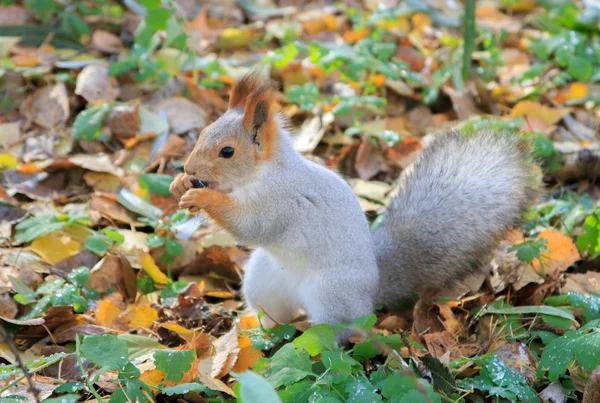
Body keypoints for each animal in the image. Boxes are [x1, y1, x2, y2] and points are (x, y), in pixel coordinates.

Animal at [170, 73, 544, 340]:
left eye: (227, 151)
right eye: (202, 133)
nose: (189, 168)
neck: (262, 174)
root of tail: (373, 289)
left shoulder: (280, 201)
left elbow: (250, 225)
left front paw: (204, 197)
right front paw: (180, 184)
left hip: (330, 294)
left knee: (338, 333)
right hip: (264, 281)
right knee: (273, 315)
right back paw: (252, 332)